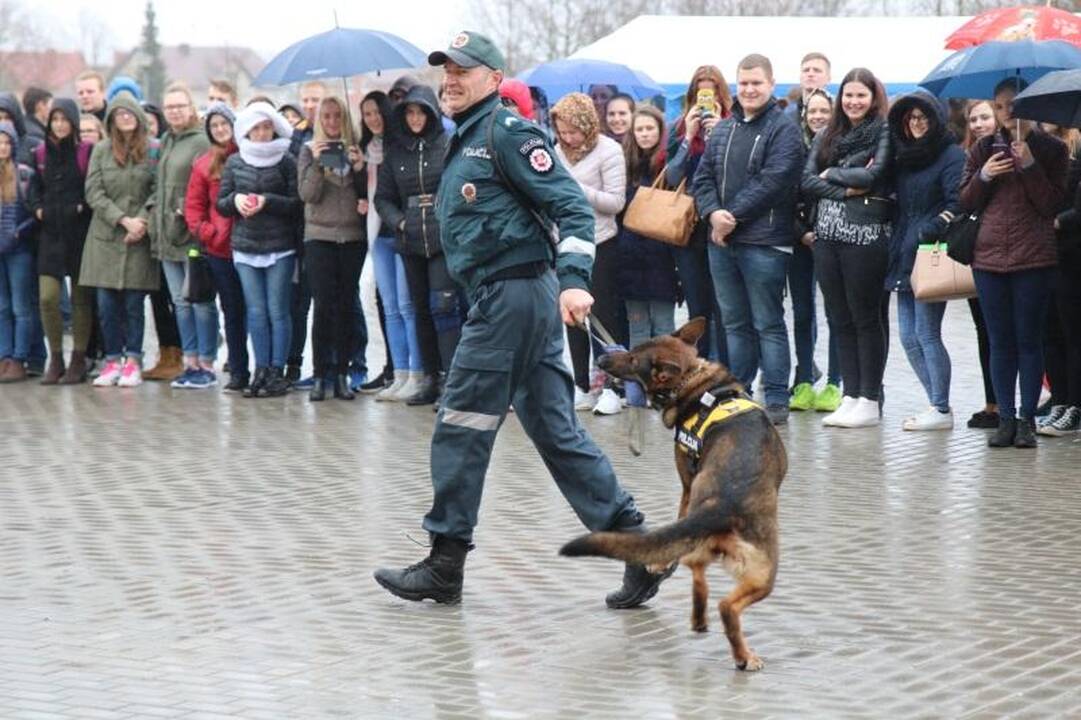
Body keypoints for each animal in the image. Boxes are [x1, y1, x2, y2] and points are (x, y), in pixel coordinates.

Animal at [566, 317, 786, 670]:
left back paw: (703, 623)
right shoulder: (685, 484)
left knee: (704, 582)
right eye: (632, 350)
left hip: (742, 563)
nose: (601, 358)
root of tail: (720, 505)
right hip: (763, 572)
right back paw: (737, 650)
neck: (694, 382)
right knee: (724, 603)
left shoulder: (685, 484)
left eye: (632, 359)